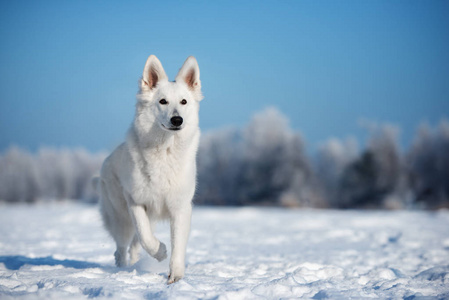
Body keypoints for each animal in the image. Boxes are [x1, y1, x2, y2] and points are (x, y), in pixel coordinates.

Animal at [99, 55, 203, 284]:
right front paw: (161, 251)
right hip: (121, 219)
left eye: (184, 102)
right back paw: (123, 270)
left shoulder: (180, 207)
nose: (177, 120)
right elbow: (146, 236)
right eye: (162, 101)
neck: (165, 151)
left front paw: (176, 275)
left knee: (134, 247)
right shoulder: (136, 202)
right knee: (122, 248)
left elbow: (178, 244)